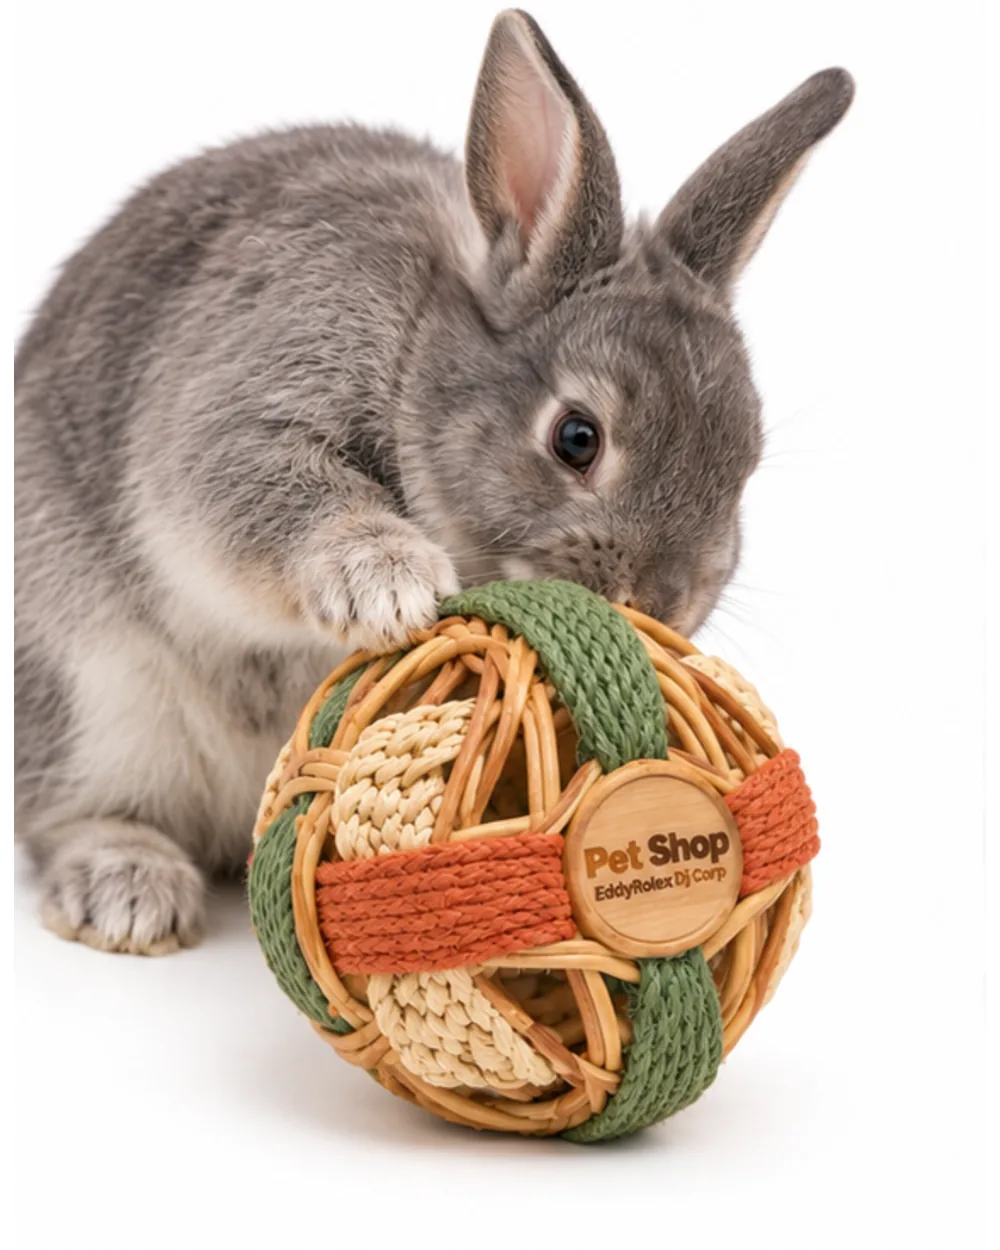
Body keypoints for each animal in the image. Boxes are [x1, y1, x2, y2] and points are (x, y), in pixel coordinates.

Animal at [14, 9, 853, 954]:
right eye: (576, 438)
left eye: (742, 468)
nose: (661, 604)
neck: (418, 353)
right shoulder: (245, 423)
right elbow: (278, 497)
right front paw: (390, 583)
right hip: (92, 694)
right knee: (63, 813)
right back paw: (127, 889)